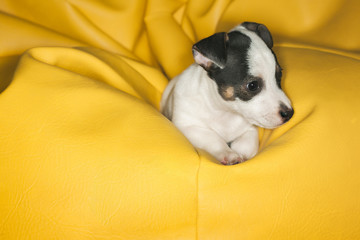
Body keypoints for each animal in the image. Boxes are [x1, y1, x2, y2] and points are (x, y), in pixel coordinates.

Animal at [160, 22, 292, 165]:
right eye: (252, 86)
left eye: (279, 74)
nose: (290, 113)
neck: (225, 112)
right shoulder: (190, 127)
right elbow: (213, 138)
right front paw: (229, 154)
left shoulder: (249, 130)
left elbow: (247, 144)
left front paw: (242, 155)